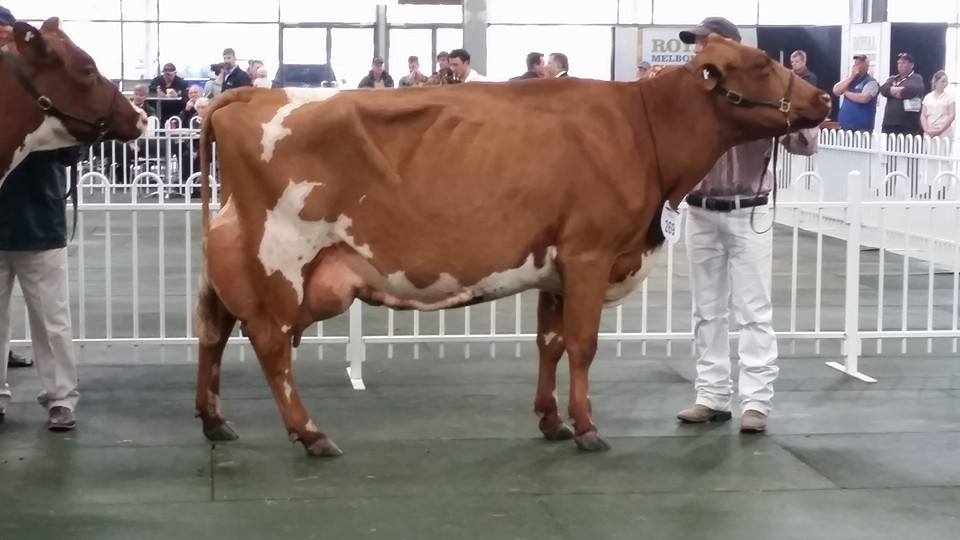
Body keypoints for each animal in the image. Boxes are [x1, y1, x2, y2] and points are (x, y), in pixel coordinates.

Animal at [195, 34, 832, 456]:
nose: (824, 100)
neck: (642, 130)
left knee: (213, 328)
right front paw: (587, 427)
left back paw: (213, 421)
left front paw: (551, 421)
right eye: (759, 63)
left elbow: (550, 343)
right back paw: (310, 434)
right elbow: (582, 345)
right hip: (280, 257)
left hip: (233, 258)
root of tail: (245, 98)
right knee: (270, 342)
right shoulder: (589, 252)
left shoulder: (556, 266)